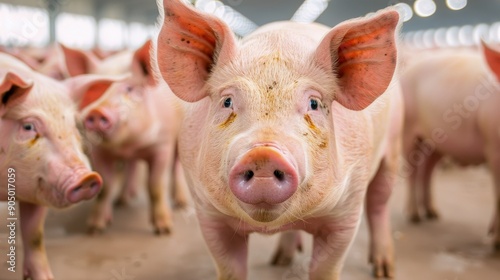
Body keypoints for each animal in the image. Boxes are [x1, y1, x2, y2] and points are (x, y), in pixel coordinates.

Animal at [60, 40, 188, 235]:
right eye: (93, 88)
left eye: (129, 88)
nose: (96, 111)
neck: (128, 144)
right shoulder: (99, 151)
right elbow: (106, 186)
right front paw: (95, 228)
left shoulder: (162, 145)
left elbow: (155, 186)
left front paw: (164, 229)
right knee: (131, 166)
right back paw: (123, 200)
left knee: (176, 166)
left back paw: (181, 203)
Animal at [154, 1, 404, 278]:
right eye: (227, 101)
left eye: (314, 103)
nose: (264, 153)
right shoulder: (208, 214)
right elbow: (230, 267)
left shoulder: (346, 213)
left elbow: (326, 267)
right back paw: (280, 260)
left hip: (393, 146)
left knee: (379, 203)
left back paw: (384, 269)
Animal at [400, 41, 500, 249]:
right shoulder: (493, 147)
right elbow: (498, 194)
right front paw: (496, 243)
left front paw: (491, 234)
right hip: (408, 127)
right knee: (413, 170)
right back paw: (414, 217)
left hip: (436, 142)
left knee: (427, 170)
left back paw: (433, 213)